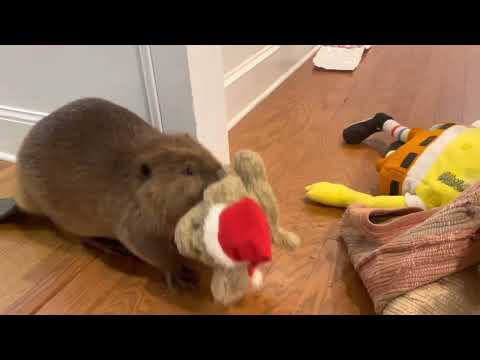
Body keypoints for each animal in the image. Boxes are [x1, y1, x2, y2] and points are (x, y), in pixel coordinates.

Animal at [0, 97, 225, 288]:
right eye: (188, 170)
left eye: (204, 149)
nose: (220, 172)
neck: (131, 183)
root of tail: (20, 200)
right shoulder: (132, 218)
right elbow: (148, 248)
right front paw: (182, 275)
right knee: (80, 237)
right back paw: (111, 247)